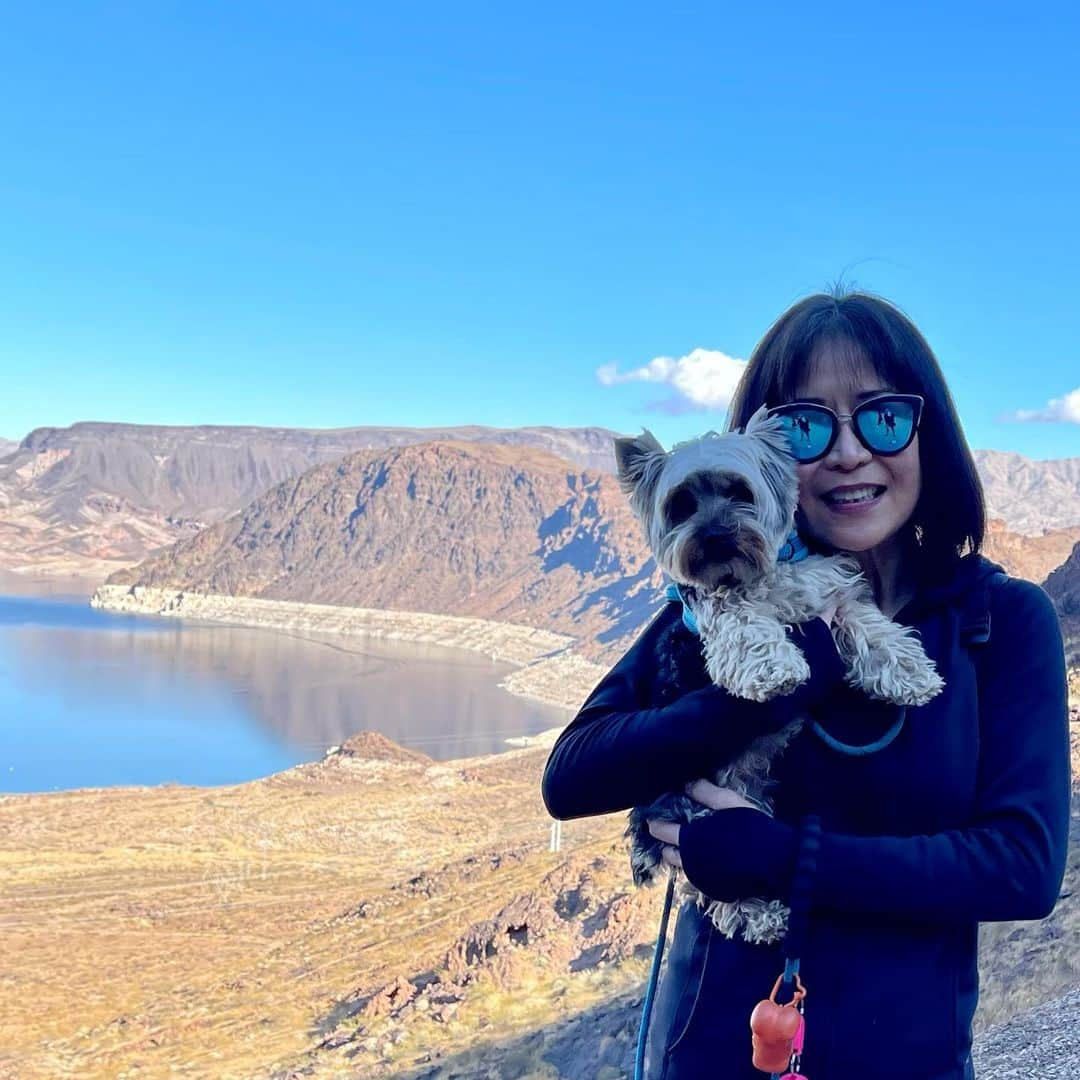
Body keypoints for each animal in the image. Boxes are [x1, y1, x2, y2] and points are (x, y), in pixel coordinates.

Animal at [617, 406, 946, 946]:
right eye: (682, 504)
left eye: (739, 491)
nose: (715, 537)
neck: (765, 571)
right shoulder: (721, 609)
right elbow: (748, 630)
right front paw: (778, 671)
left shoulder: (831, 593)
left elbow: (868, 627)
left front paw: (909, 670)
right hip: (692, 810)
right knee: (711, 879)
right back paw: (759, 914)